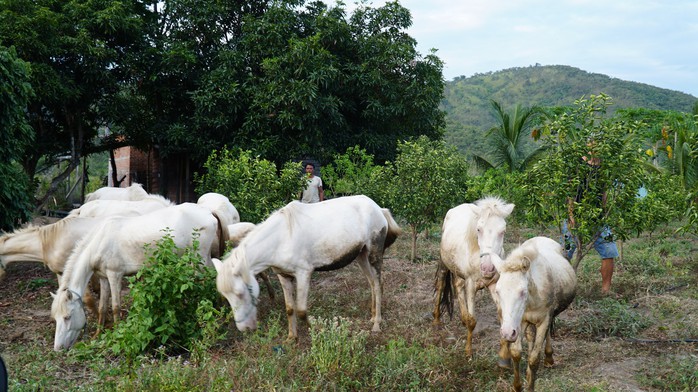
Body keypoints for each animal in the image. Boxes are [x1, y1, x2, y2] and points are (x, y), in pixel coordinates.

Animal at [51, 202, 216, 350]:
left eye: (67, 317)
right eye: (56, 318)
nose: (58, 348)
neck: (100, 242)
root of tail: (208, 212)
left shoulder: (115, 275)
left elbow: (115, 306)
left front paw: (117, 334)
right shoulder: (104, 278)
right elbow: (102, 307)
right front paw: (97, 334)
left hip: (199, 260)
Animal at [211, 195, 396, 340]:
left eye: (240, 293)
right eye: (225, 296)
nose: (245, 329)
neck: (281, 239)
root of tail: (378, 209)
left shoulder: (303, 274)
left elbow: (301, 311)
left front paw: (318, 329)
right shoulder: (284, 276)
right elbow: (290, 309)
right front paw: (292, 337)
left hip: (374, 254)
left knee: (378, 285)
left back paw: (376, 324)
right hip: (361, 256)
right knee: (372, 283)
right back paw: (372, 316)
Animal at [432, 196, 512, 362]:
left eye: (503, 231)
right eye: (479, 229)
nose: (488, 267)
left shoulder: (494, 285)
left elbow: (502, 316)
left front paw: (504, 354)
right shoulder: (470, 285)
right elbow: (472, 321)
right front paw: (468, 352)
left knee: (457, 285)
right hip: (444, 265)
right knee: (441, 284)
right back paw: (436, 320)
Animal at [490, 236, 576, 392]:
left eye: (523, 292)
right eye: (497, 291)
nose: (506, 333)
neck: (533, 299)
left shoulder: (544, 319)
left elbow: (534, 358)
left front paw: (530, 385)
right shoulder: (519, 322)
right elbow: (516, 352)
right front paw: (518, 386)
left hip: (548, 317)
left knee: (546, 334)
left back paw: (549, 359)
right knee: (530, 336)